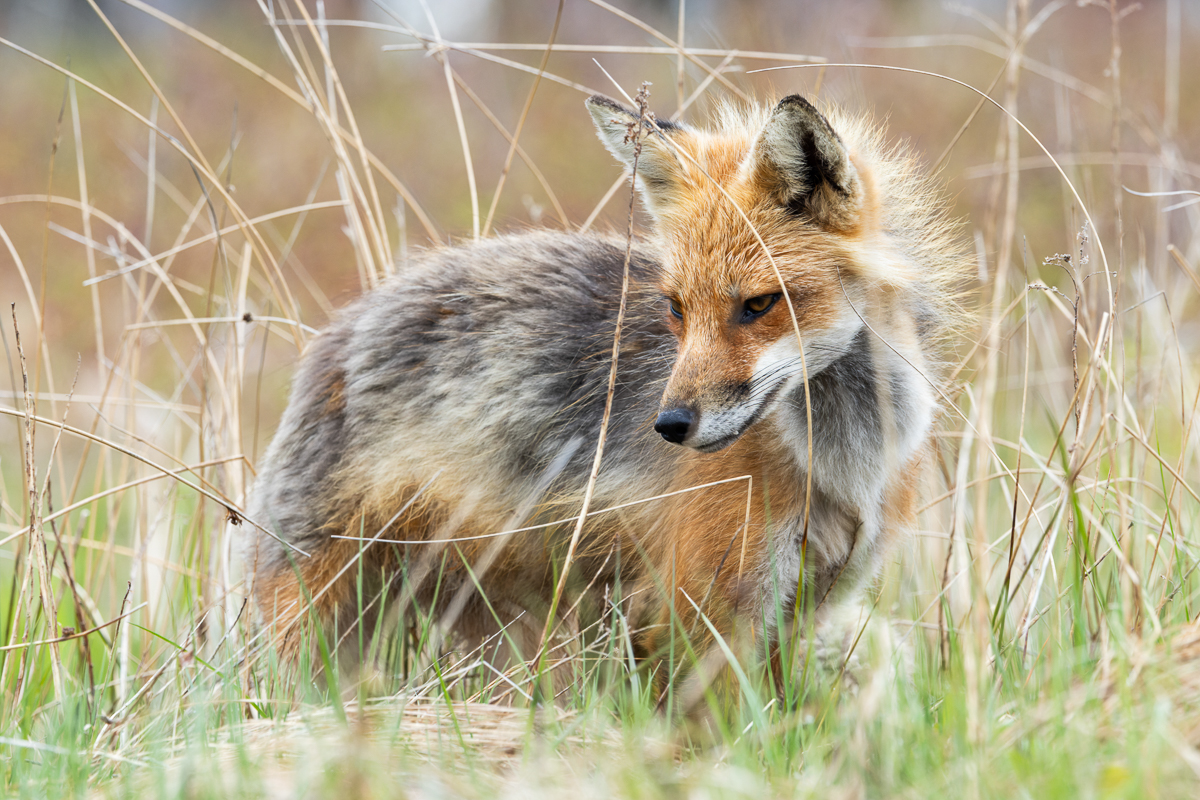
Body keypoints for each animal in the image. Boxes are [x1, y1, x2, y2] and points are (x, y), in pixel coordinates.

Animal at [246, 93, 968, 688]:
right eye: (676, 309)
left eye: (760, 305)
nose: (670, 425)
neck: (842, 460)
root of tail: (348, 318)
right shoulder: (704, 607)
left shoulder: (804, 612)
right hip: (313, 619)